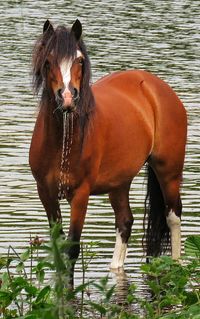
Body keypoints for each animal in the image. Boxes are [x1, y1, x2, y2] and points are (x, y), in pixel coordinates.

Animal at [29, 18, 188, 286]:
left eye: (79, 60)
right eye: (48, 60)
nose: (68, 97)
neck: (62, 141)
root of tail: (156, 87)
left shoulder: (80, 195)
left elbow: (72, 247)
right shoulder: (45, 193)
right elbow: (57, 245)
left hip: (169, 172)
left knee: (173, 216)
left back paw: (176, 265)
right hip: (120, 182)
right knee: (125, 221)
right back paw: (115, 269)